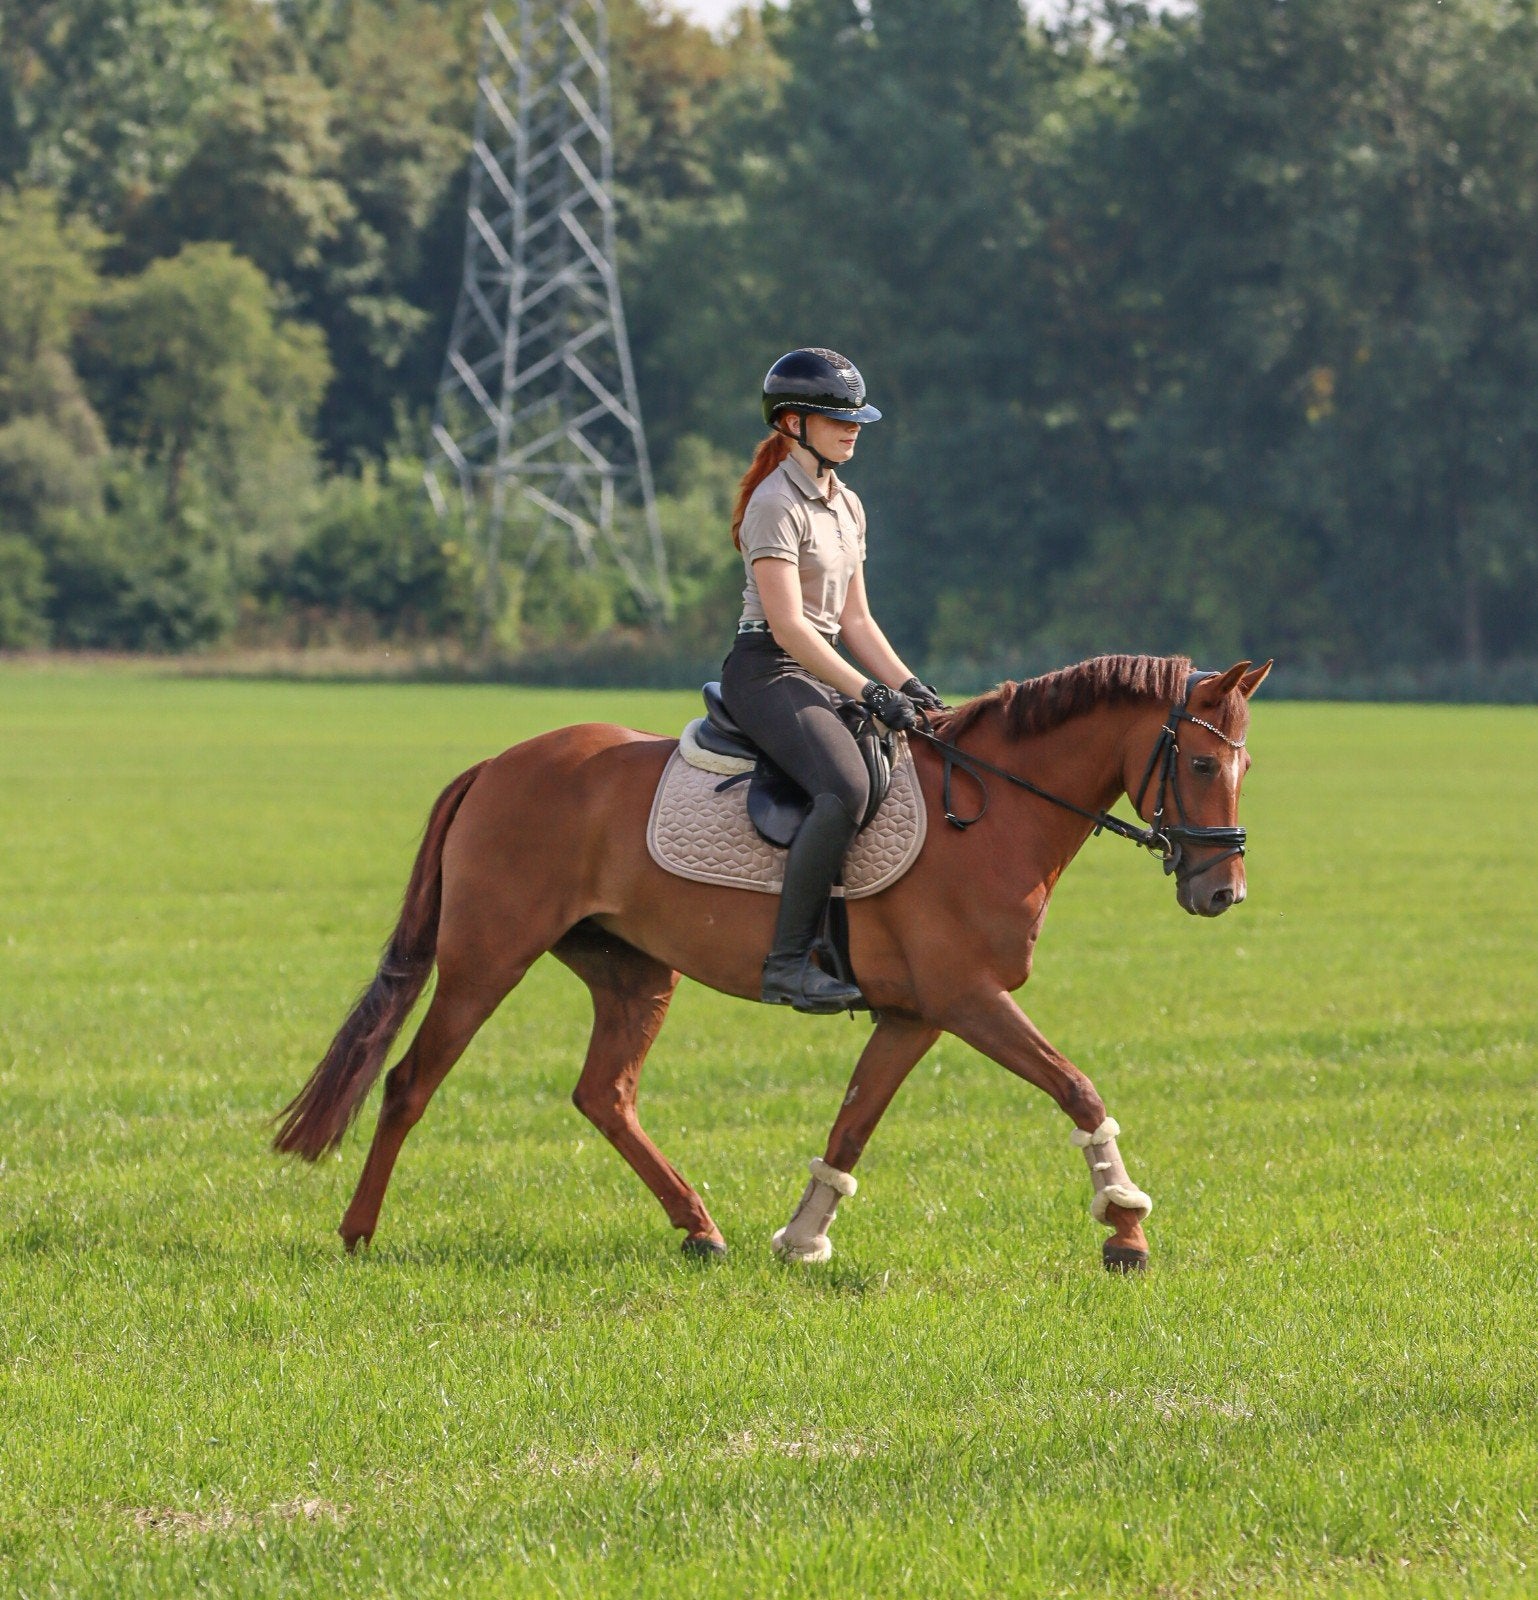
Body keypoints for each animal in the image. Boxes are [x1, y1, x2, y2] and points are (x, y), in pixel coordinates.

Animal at [274, 652, 1270, 1272]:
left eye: (1245, 767)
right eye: (1201, 764)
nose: (1223, 893)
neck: (993, 813)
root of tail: (494, 765)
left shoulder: (916, 1015)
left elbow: (852, 1125)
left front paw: (801, 1239)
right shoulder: (969, 999)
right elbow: (1077, 1088)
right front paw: (1126, 1227)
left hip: (635, 972)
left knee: (605, 1094)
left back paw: (699, 1228)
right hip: (488, 958)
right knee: (408, 1083)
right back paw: (358, 1233)